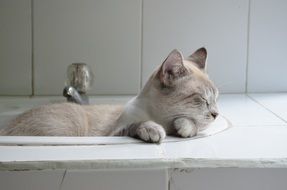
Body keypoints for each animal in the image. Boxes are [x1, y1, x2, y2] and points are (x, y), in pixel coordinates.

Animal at [0, 47, 220, 142]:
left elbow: (191, 127)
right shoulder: (114, 133)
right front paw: (154, 130)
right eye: (202, 99)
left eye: (216, 98)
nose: (216, 114)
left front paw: (184, 126)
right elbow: (135, 125)